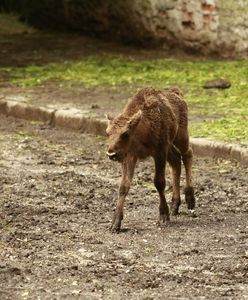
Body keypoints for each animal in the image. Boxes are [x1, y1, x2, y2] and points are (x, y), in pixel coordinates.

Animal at [105, 86, 195, 232]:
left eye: (125, 133)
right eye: (107, 132)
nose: (111, 154)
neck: (142, 125)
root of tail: (176, 94)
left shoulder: (159, 152)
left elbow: (159, 182)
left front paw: (163, 216)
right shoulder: (129, 156)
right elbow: (124, 186)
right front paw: (115, 223)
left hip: (181, 136)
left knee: (188, 154)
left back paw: (190, 199)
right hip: (170, 145)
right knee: (176, 162)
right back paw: (175, 206)